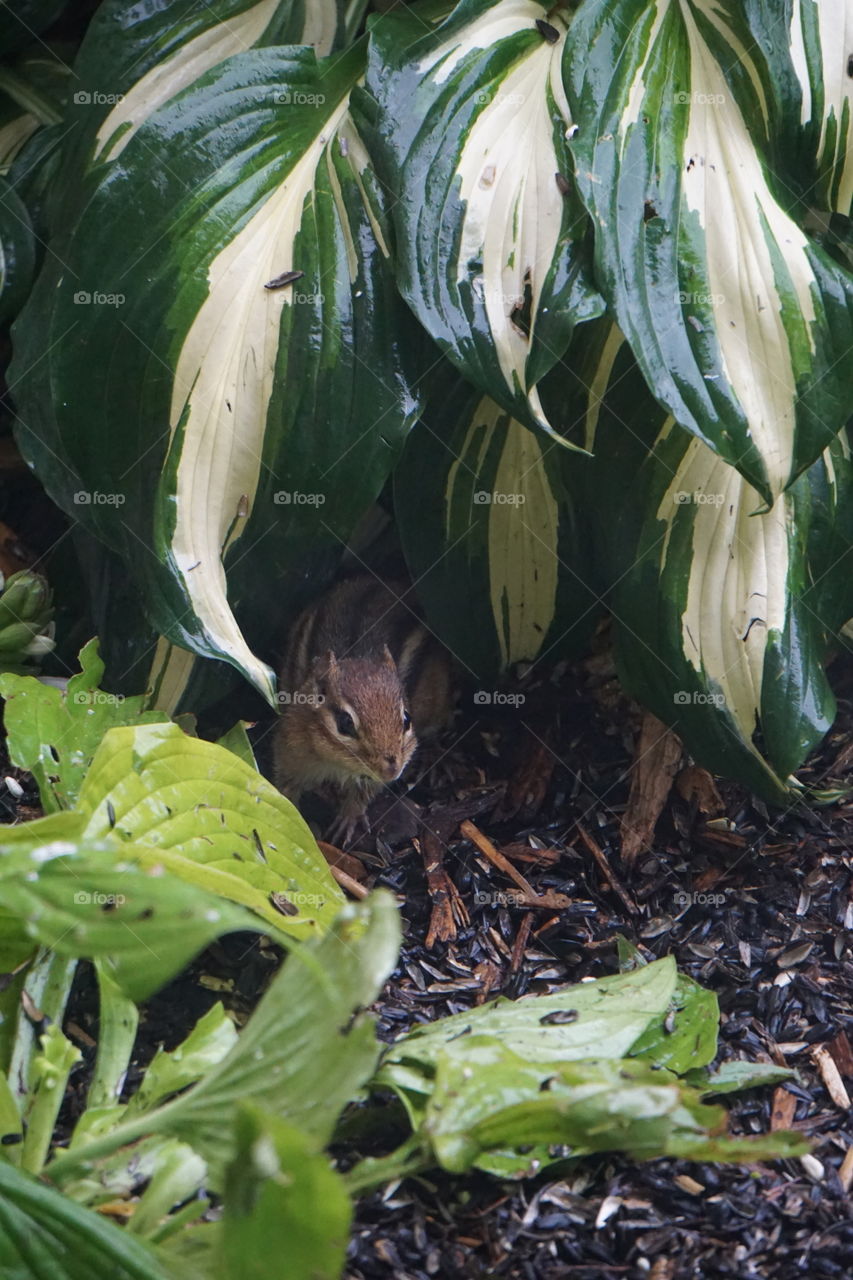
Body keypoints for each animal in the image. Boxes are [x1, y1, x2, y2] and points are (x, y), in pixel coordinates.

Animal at [273, 574, 452, 840]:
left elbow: (364, 790)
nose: (392, 770)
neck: (335, 762)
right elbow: (284, 788)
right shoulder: (290, 750)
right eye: (346, 723)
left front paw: (349, 817)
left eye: (406, 720)